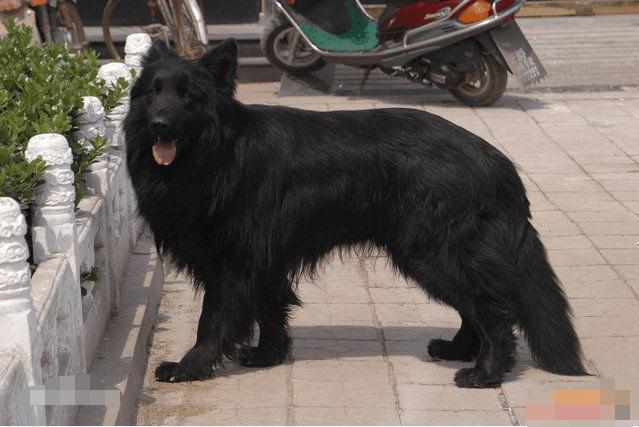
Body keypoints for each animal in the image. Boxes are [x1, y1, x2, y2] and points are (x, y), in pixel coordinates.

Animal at [126, 39, 592, 388]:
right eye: (153, 91)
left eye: (187, 95)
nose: (159, 125)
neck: (218, 151)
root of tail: (495, 160)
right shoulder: (266, 259)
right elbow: (271, 308)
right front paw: (267, 356)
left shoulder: (233, 263)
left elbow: (213, 322)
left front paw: (189, 367)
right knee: (472, 308)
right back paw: (457, 351)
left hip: (433, 252)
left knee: (492, 310)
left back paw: (486, 373)